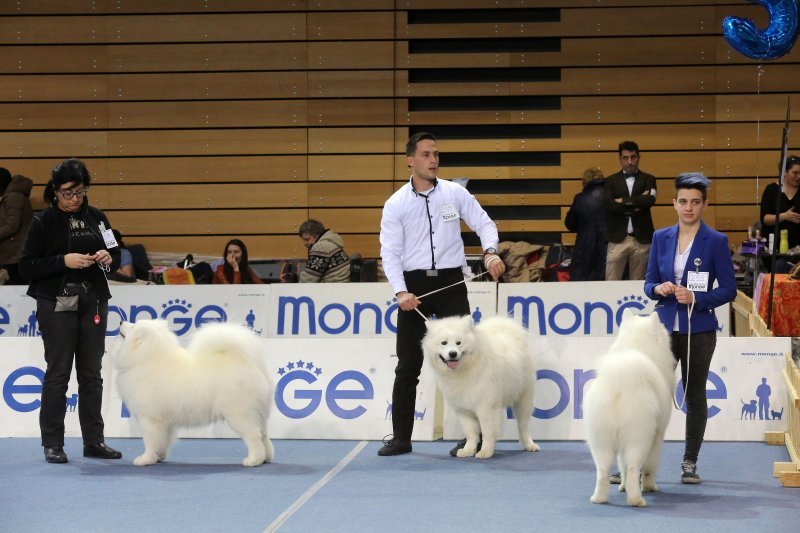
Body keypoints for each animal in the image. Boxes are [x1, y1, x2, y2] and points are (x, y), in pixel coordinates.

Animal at [114, 320, 274, 466]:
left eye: (133, 326)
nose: (121, 321)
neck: (148, 359)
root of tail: (248, 363)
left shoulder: (149, 419)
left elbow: (150, 441)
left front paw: (146, 459)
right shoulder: (165, 422)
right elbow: (162, 441)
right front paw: (159, 457)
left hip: (239, 415)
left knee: (254, 437)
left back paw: (253, 460)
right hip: (258, 415)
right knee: (264, 436)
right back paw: (266, 458)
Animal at [422, 316, 540, 458]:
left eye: (458, 343)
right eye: (444, 343)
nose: (452, 353)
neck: (464, 371)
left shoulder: (486, 408)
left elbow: (487, 433)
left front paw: (485, 452)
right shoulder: (464, 410)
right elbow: (471, 434)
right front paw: (468, 450)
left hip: (523, 399)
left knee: (523, 426)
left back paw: (530, 445)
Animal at [580, 310, 676, 504]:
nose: (666, 328)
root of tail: (619, 383)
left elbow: (621, 466)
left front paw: (622, 486)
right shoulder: (658, 436)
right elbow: (648, 468)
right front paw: (650, 487)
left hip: (600, 440)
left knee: (602, 470)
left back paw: (599, 498)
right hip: (638, 438)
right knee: (633, 468)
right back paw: (636, 500)